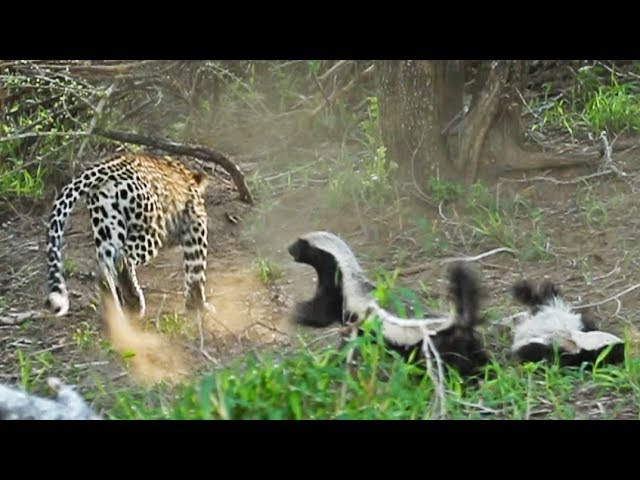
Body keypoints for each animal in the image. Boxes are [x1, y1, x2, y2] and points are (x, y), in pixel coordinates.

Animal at [44, 151, 213, 318]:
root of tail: (106, 167)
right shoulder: (195, 223)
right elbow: (196, 268)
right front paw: (198, 304)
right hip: (151, 227)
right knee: (123, 260)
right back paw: (134, 301)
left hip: (107, 227)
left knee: (105, 271)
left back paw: (116, 312)